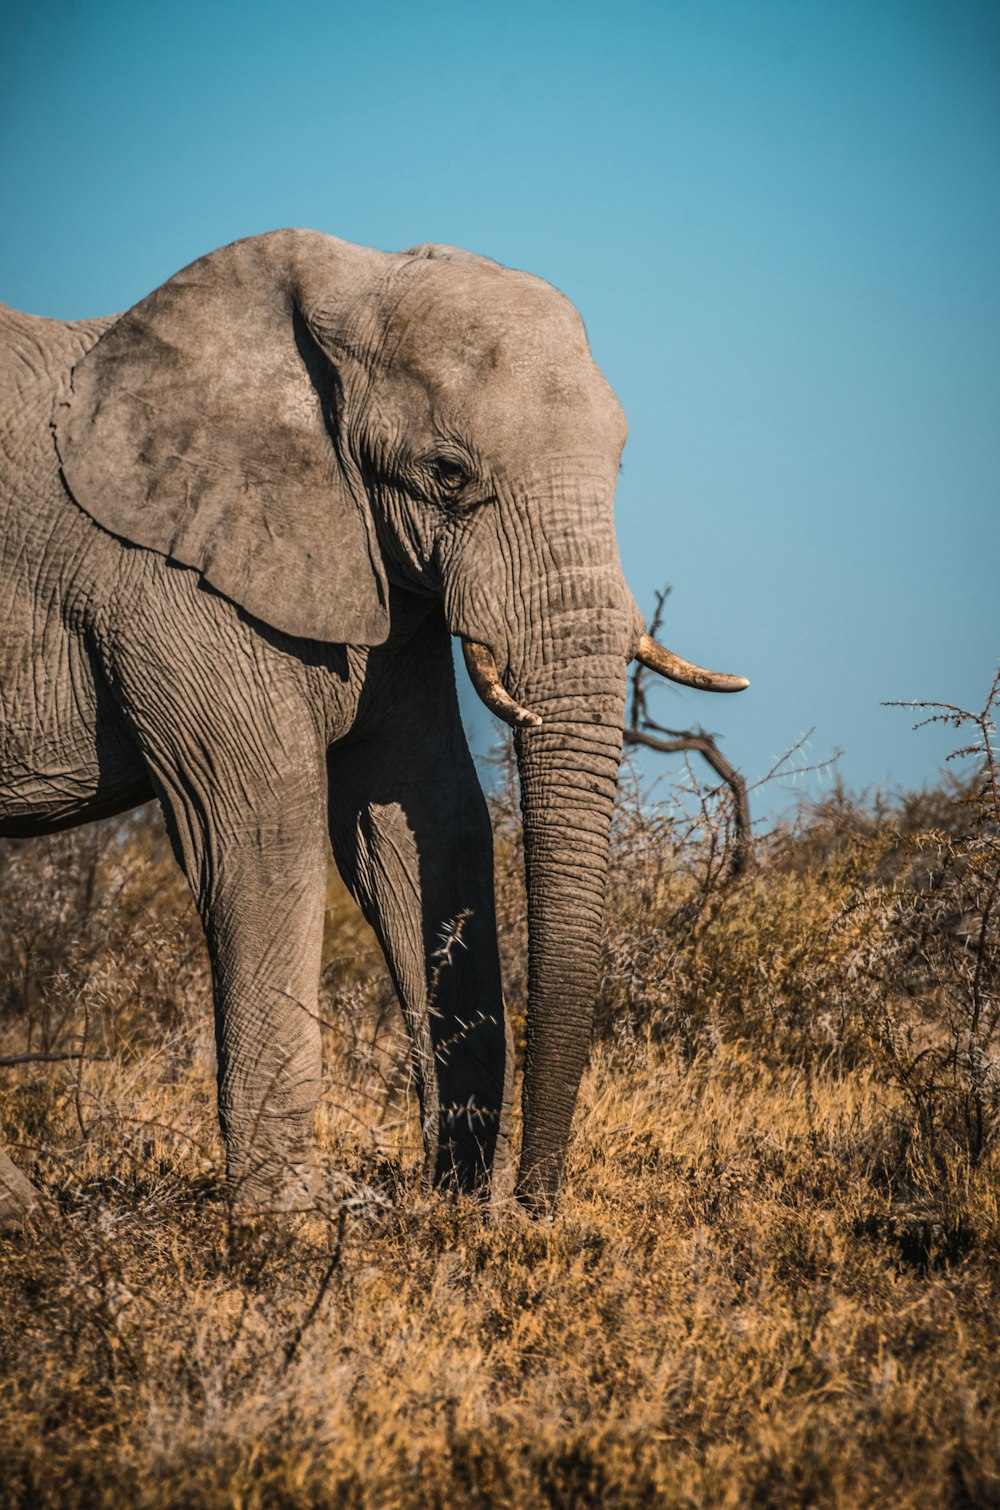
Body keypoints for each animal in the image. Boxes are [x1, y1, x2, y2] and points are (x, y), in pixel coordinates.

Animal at [0, 229, 749, 1220]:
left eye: (620, 463)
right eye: (448, 475)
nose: (531, 1210)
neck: (344, 288)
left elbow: (423, 813)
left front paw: (451, 1206)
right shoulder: (168, 580)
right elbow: (259, 830)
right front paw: (287, 1226)